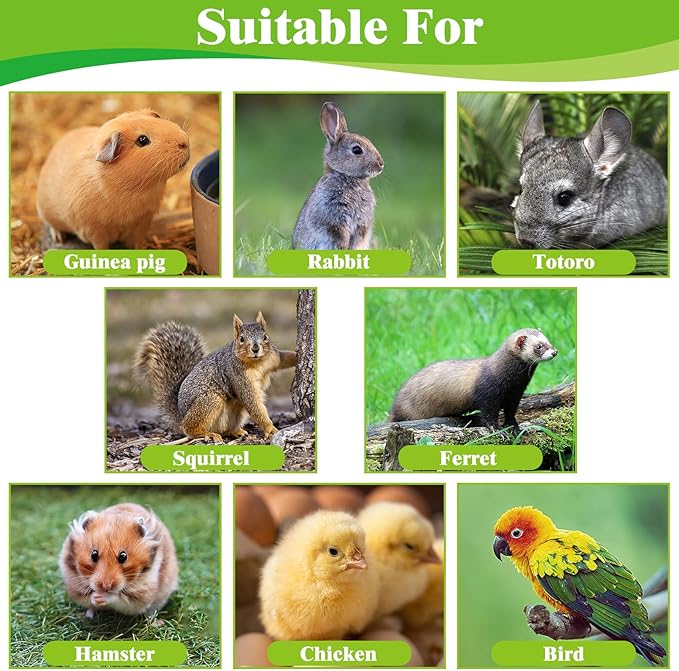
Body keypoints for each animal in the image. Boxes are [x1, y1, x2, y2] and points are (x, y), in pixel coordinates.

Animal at [292, 102, 384, 250]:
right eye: (357, 150)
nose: (381, 164)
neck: (347, 177)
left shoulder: (362, 223)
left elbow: (359, 236)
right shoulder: (333, 218)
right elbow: (340, 234)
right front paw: (345, 248)